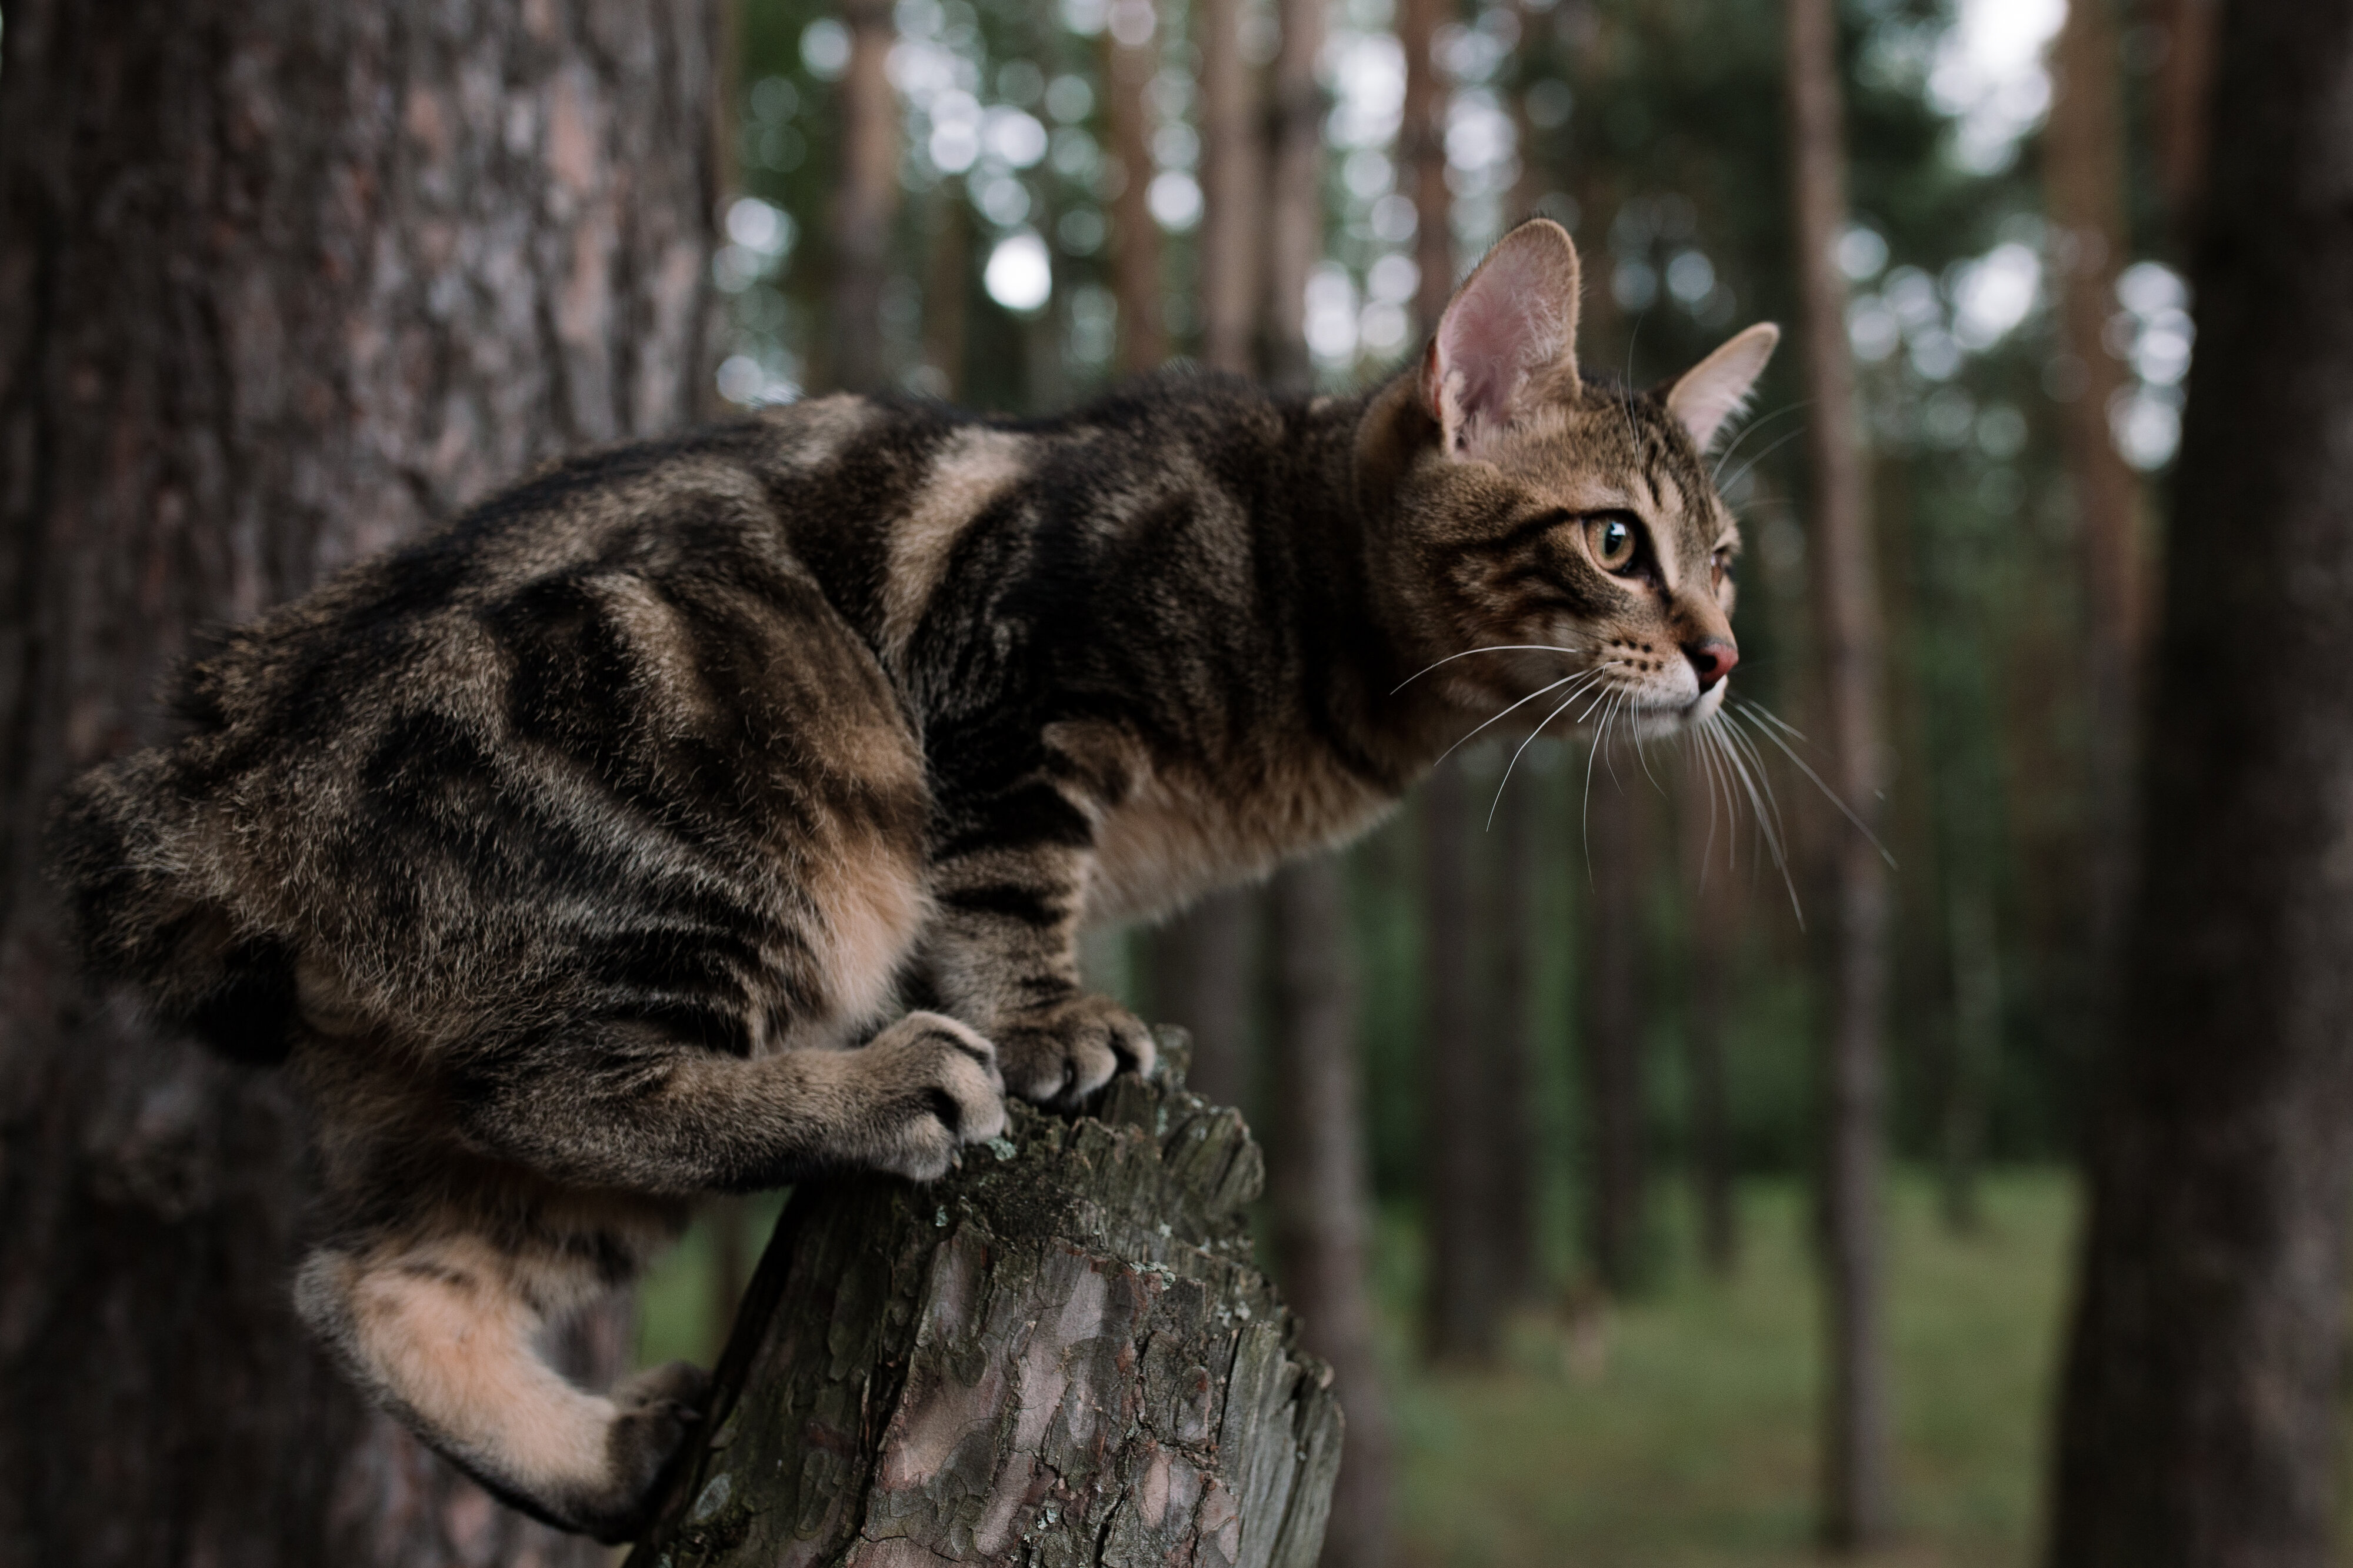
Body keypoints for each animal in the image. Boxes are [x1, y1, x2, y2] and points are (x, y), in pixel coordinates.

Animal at [41, 222, 1769, 1534]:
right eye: (1618, 542)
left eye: (1726, 557)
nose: (1723, 658)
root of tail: (206, 786)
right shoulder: (1013, 683)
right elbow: (1006, 888)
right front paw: (1055, 1021)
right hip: (752, 760)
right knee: (558, 1086)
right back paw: (890, 1088)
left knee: (374, 1279)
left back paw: (608, 1457)